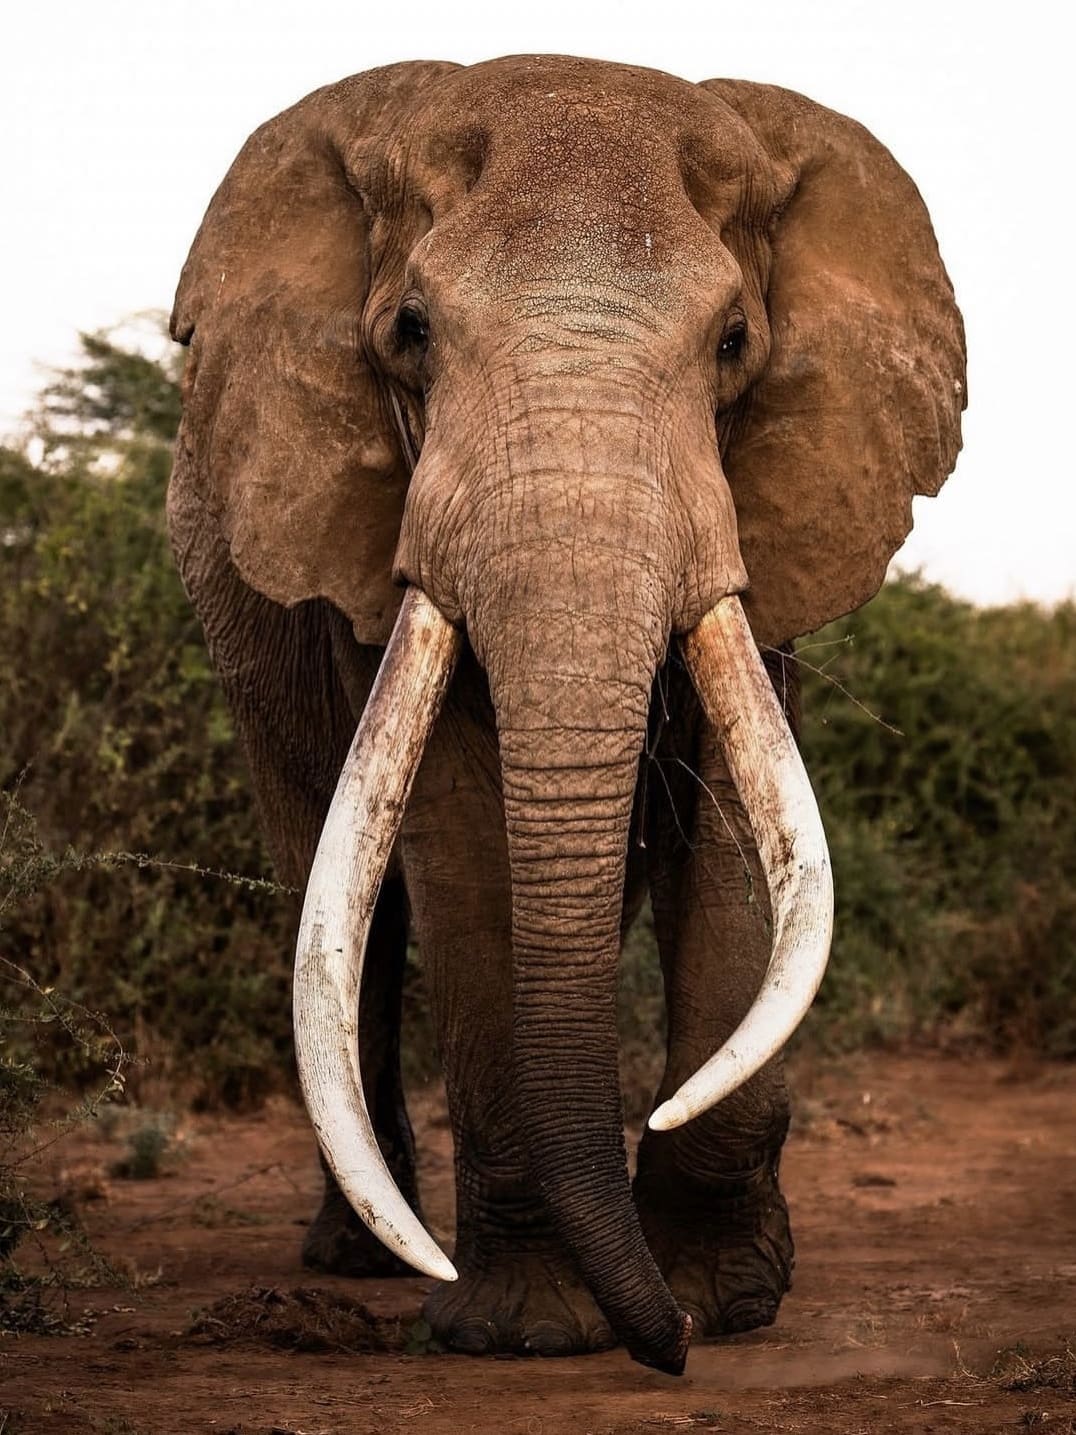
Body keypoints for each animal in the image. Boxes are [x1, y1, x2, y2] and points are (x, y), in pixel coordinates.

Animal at [167, 55, 965, 1375]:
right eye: (410, 332)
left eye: (734, 341)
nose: (671, 1348)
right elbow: (459, 839)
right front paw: (531, 1334)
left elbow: (738, 847)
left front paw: (721, 1300)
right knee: (342, 923)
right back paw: (355, 1256)